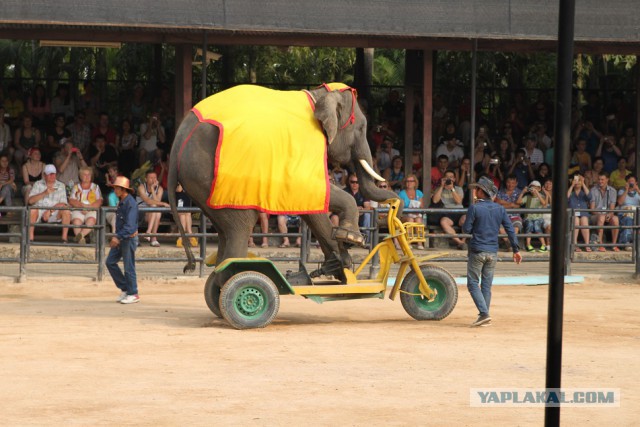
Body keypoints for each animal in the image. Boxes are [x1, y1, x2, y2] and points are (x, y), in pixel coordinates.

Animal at [168, 83, 402, 284]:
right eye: (362, 128)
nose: (394, 202)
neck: (318, 96)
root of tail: (179, 138)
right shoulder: (305, 147)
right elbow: (313, 191)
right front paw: (351, 240)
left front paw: (339, 266)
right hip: (215, 175)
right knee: (239, 229)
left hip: (202, 184)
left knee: (224, 231)